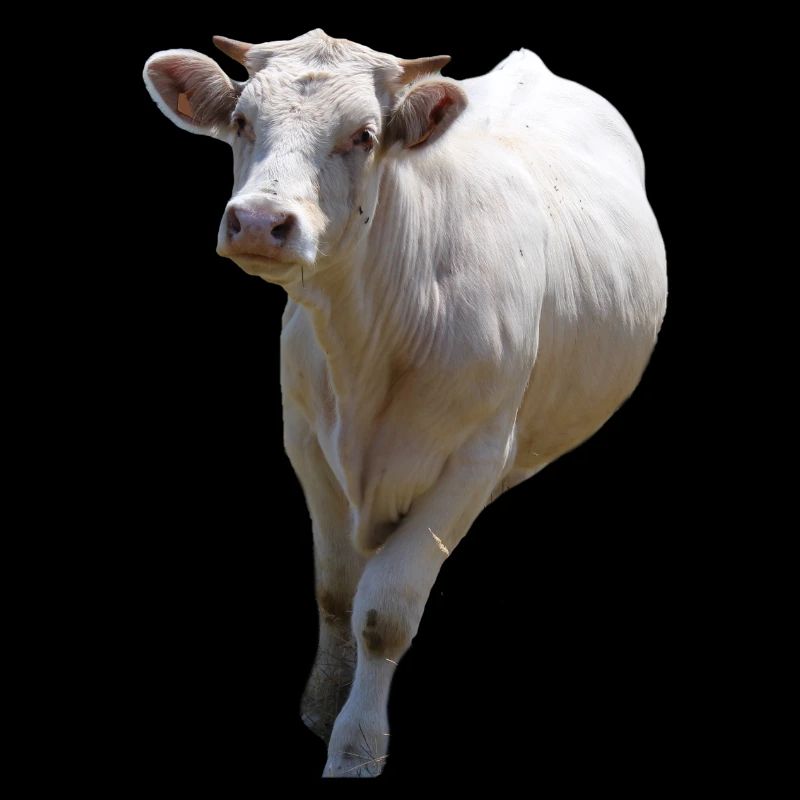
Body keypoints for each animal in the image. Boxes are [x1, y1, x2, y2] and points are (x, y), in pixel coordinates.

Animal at [143, 29, 667, 777]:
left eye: (363, 135)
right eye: (242, 121)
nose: (259, 221)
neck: (368, 342)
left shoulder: (474, 461)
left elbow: (384, 613)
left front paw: (355, 745)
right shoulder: (306, 439)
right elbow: (336, 592)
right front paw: (323, 705)